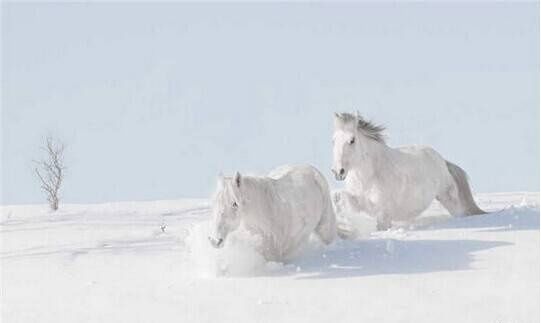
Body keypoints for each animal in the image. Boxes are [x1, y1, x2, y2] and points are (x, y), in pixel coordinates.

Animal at [330, 112, 486, 232]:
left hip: (448, 198)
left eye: (352, 140)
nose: (338, 171)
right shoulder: (362, 203)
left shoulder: (383, 213)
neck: (370, 175)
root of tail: (443, 161)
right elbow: (341, 197)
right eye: (333, 140)